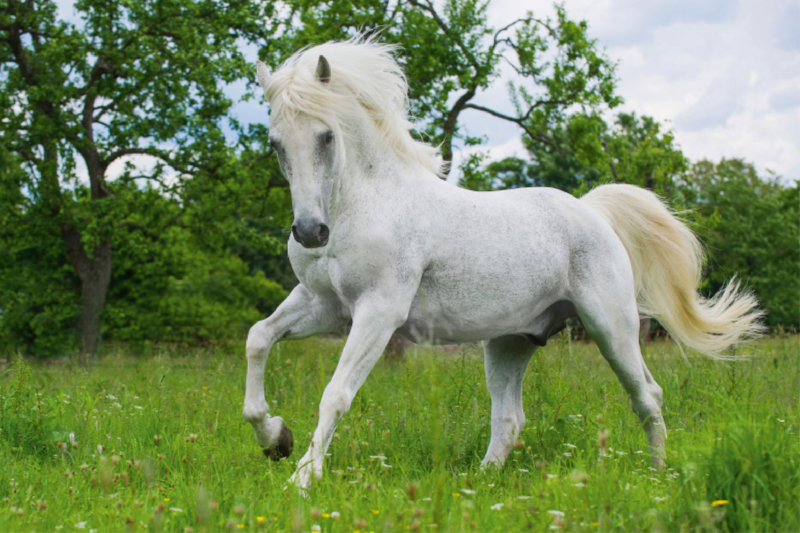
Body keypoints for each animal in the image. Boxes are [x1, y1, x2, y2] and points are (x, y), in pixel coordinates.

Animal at [242, 39, 764, 488]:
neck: (365, 205)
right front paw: (275, 439)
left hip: (611, 328)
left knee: (647, 396)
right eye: (275, 143)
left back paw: (658, 475)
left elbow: (335, 393)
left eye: (326, 136)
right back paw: (480, 484)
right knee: (510, 418)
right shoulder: (323, 304)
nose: (311, 232)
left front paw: (302, 479)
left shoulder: (378, 310)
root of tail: (591, 212)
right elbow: (258, 339)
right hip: (510, 342)